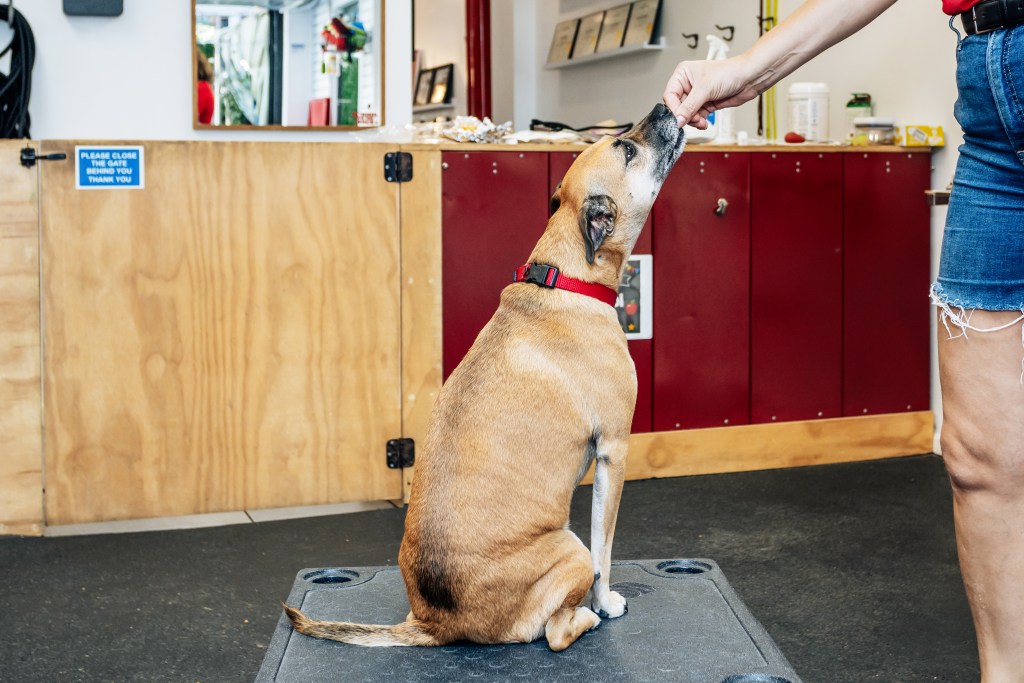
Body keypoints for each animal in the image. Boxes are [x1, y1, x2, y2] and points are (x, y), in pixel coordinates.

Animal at [288, 101, 684, 651]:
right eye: (626, 148)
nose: (664, 106)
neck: (568, 276)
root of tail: (434, 622)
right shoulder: (614, 452)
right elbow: (606, 554)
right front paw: (606, 603)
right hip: (571, 546)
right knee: (556, 628)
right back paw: (584, 616)